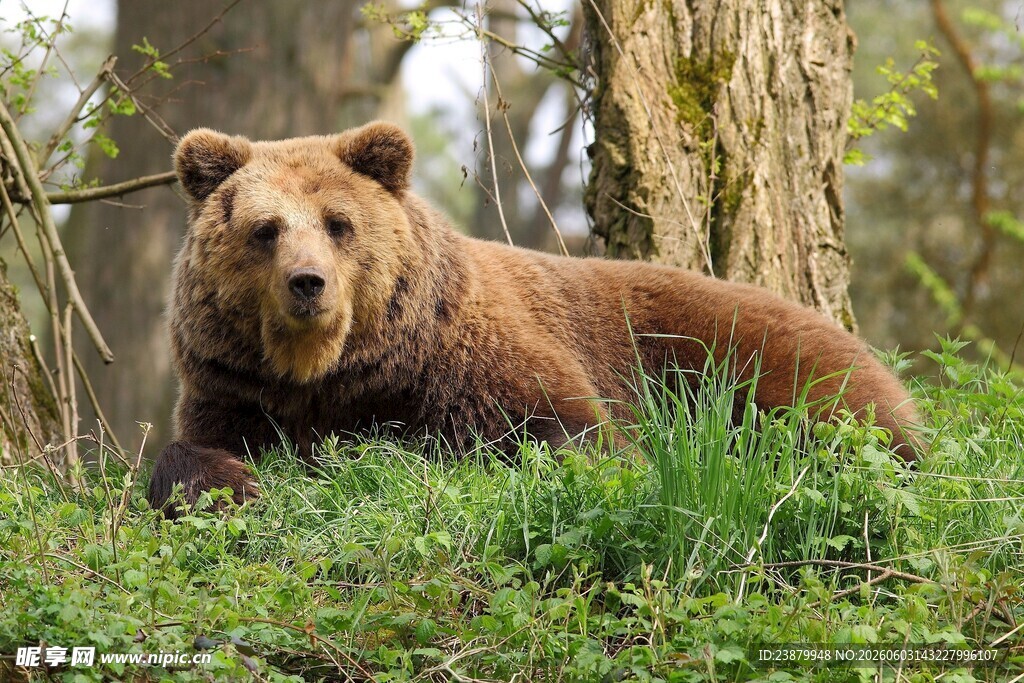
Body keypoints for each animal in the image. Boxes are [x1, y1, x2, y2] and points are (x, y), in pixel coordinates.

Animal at [147, 121, 921, 516]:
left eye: (339, 223)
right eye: (265, 229)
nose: (307, 284)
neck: (335, 372)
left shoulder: (467, 361)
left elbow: (568, 436)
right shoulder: (235, 385)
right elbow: (191, 446)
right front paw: (228, 480)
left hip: (750, 359)